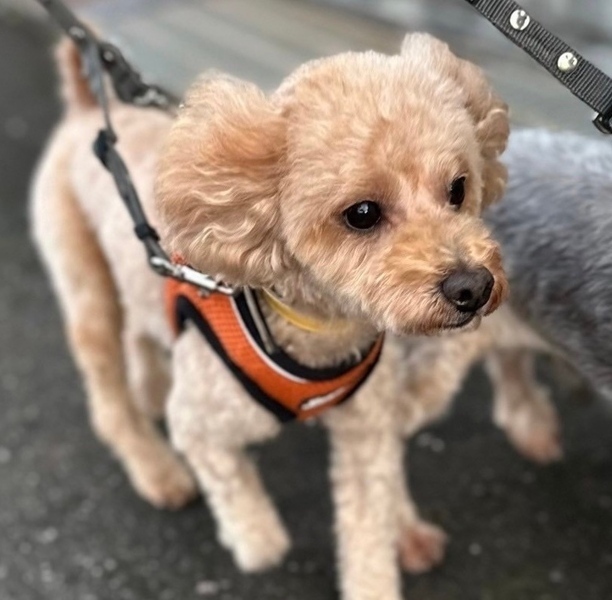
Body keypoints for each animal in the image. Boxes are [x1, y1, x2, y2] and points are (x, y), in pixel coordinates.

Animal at [31, 33, 508, 600]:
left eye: (458, 189)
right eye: (362, 214)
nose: (473, 287)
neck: (320, 327)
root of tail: (86, 109)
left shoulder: (366, 427)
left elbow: (369, 523)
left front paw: (393, 543)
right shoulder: (202, 423)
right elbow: (248, 515)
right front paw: (257, 538)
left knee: (139, 331)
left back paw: (150, 388)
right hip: (83, 278)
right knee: (108, 388)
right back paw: (157, 470)